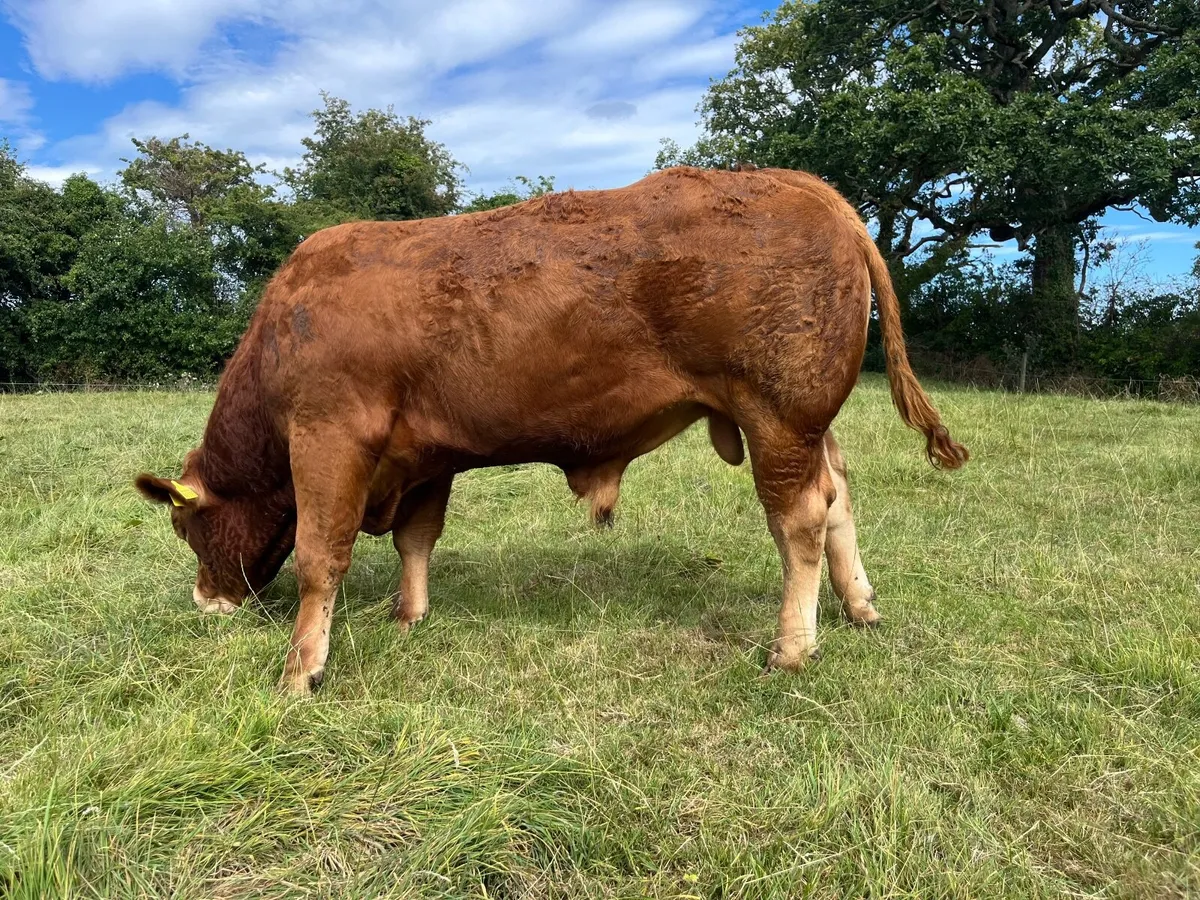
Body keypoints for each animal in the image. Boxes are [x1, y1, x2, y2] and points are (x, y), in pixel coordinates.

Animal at [135, 165, 967, 695]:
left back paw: (791, 649)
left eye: (185, 527)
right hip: (807, 420)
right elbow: (415, 538)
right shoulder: (427, 455)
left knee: (800, 520)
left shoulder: (328, 434)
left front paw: (301, 668)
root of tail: (804, 185)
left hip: (777, 416)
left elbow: (319, 556)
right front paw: (408, 615)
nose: (206, 604)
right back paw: (860, 607)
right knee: (839, 497)